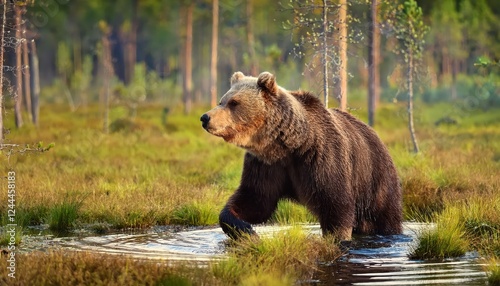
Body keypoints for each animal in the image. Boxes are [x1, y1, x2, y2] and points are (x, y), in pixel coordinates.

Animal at [199, 71, 402, 239]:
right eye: (221, 101)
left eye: (234, 102)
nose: (205, 117)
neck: (290, 145)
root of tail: (375, 134)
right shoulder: (267, 164)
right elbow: (255, 200)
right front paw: (246, 230)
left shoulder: (322, 158)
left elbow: (336, 204)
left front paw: (337, 238)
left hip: (374, 179)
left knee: (385, 216)